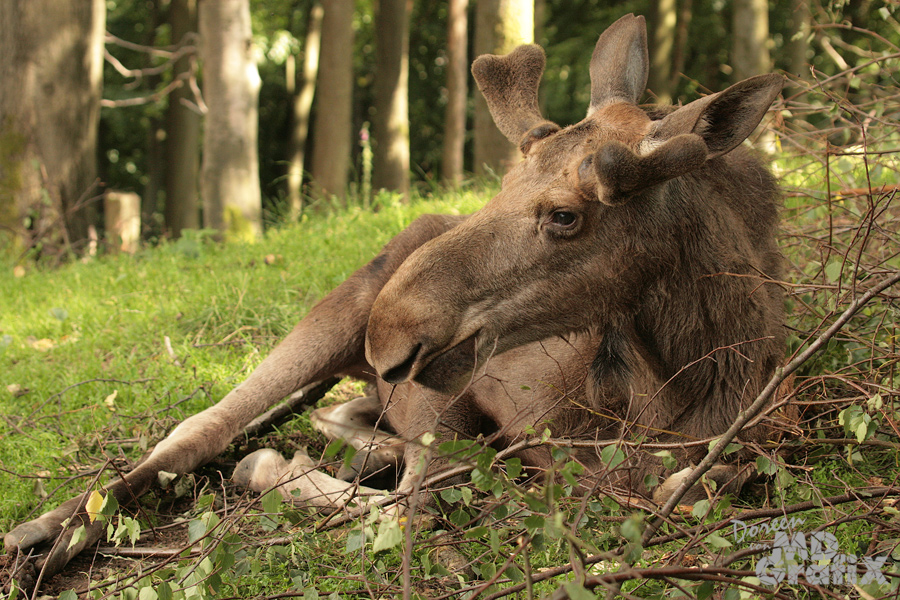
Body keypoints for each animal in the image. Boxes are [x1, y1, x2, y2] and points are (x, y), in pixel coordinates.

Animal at [7, 12, 784, 576]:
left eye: (565, 215)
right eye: (504, 182)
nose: (390, 333)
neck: (686, 381)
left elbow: (696, 484)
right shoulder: (470, 411)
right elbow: (420, 506)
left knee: (341, 424)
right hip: (333, 321)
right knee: (201, 430)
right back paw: (47, 533)